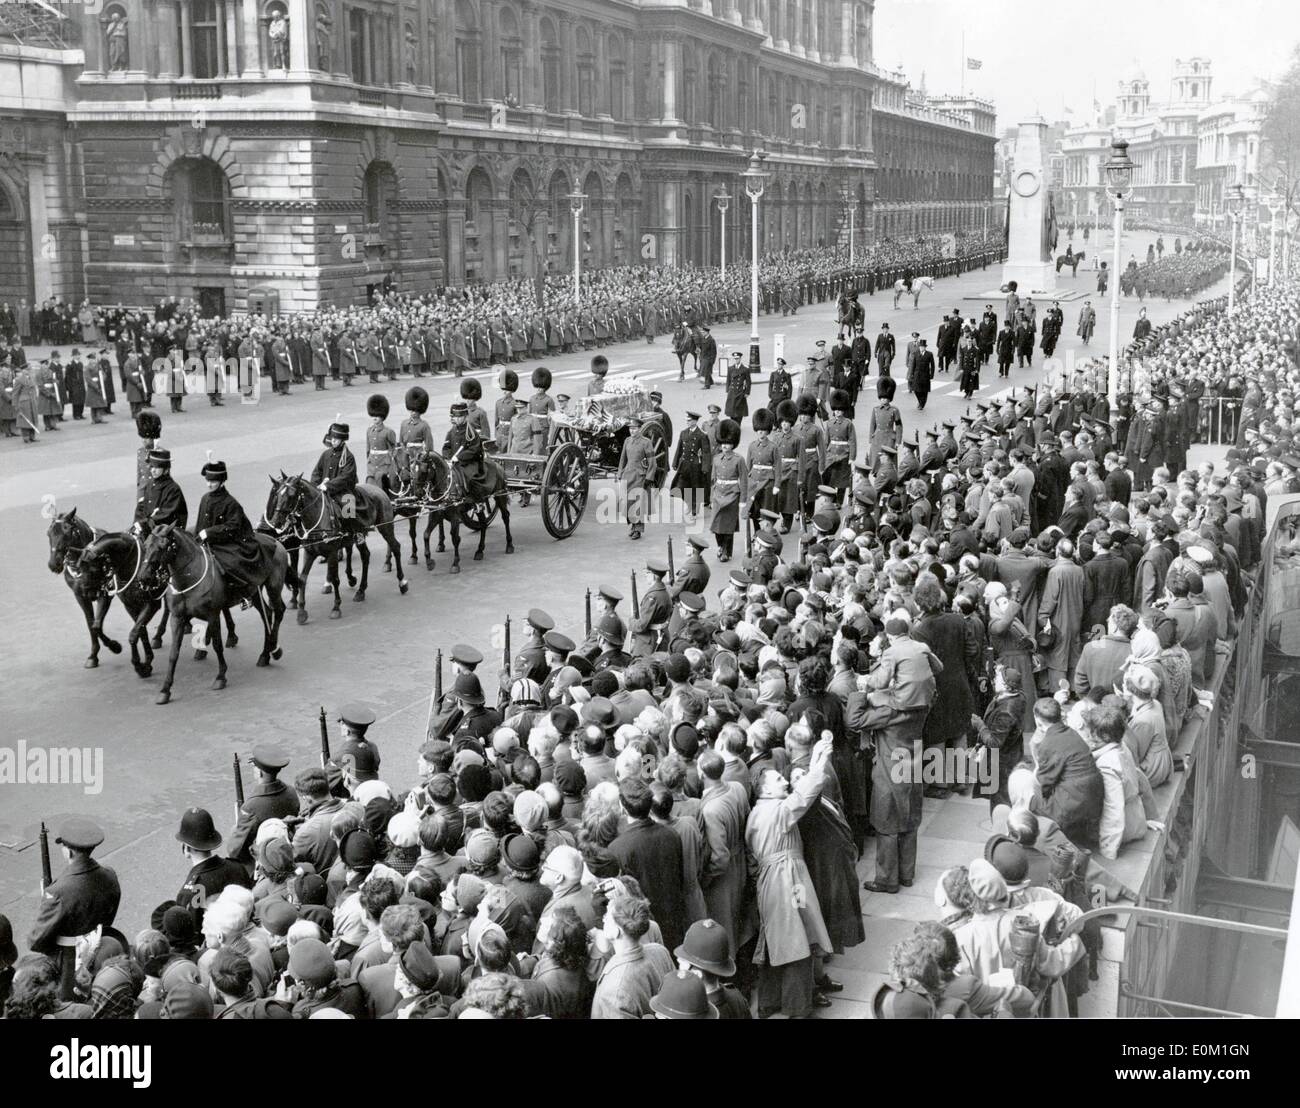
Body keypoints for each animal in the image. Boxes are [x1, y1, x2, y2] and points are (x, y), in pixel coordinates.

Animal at [141, 525, 291, 702]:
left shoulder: (213, 614)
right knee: (267, 613)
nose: (144, 577)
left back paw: (274, 649)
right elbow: (174, 653)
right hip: (254, 591)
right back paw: (265, 654)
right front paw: (165, 689)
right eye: (145, 545)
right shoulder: (177, 618)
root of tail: (276, 542)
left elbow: (217, 645)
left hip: (273, 586)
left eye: (162, 547)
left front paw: (221, 676)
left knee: (279, 611)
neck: (189, 576)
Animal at [263, 470, 405, 619]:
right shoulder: (309, 553)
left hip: (386, 527)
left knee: (395, 547)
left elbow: (335, 578)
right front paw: (301, 611)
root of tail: (378, 489)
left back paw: (402, 582)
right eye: (278, 494)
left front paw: (336, 607)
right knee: (365, 555)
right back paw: (361, 590)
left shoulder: (331, 552)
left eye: (291, 495)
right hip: (360, 535)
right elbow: (302, 579)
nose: (275, 521)